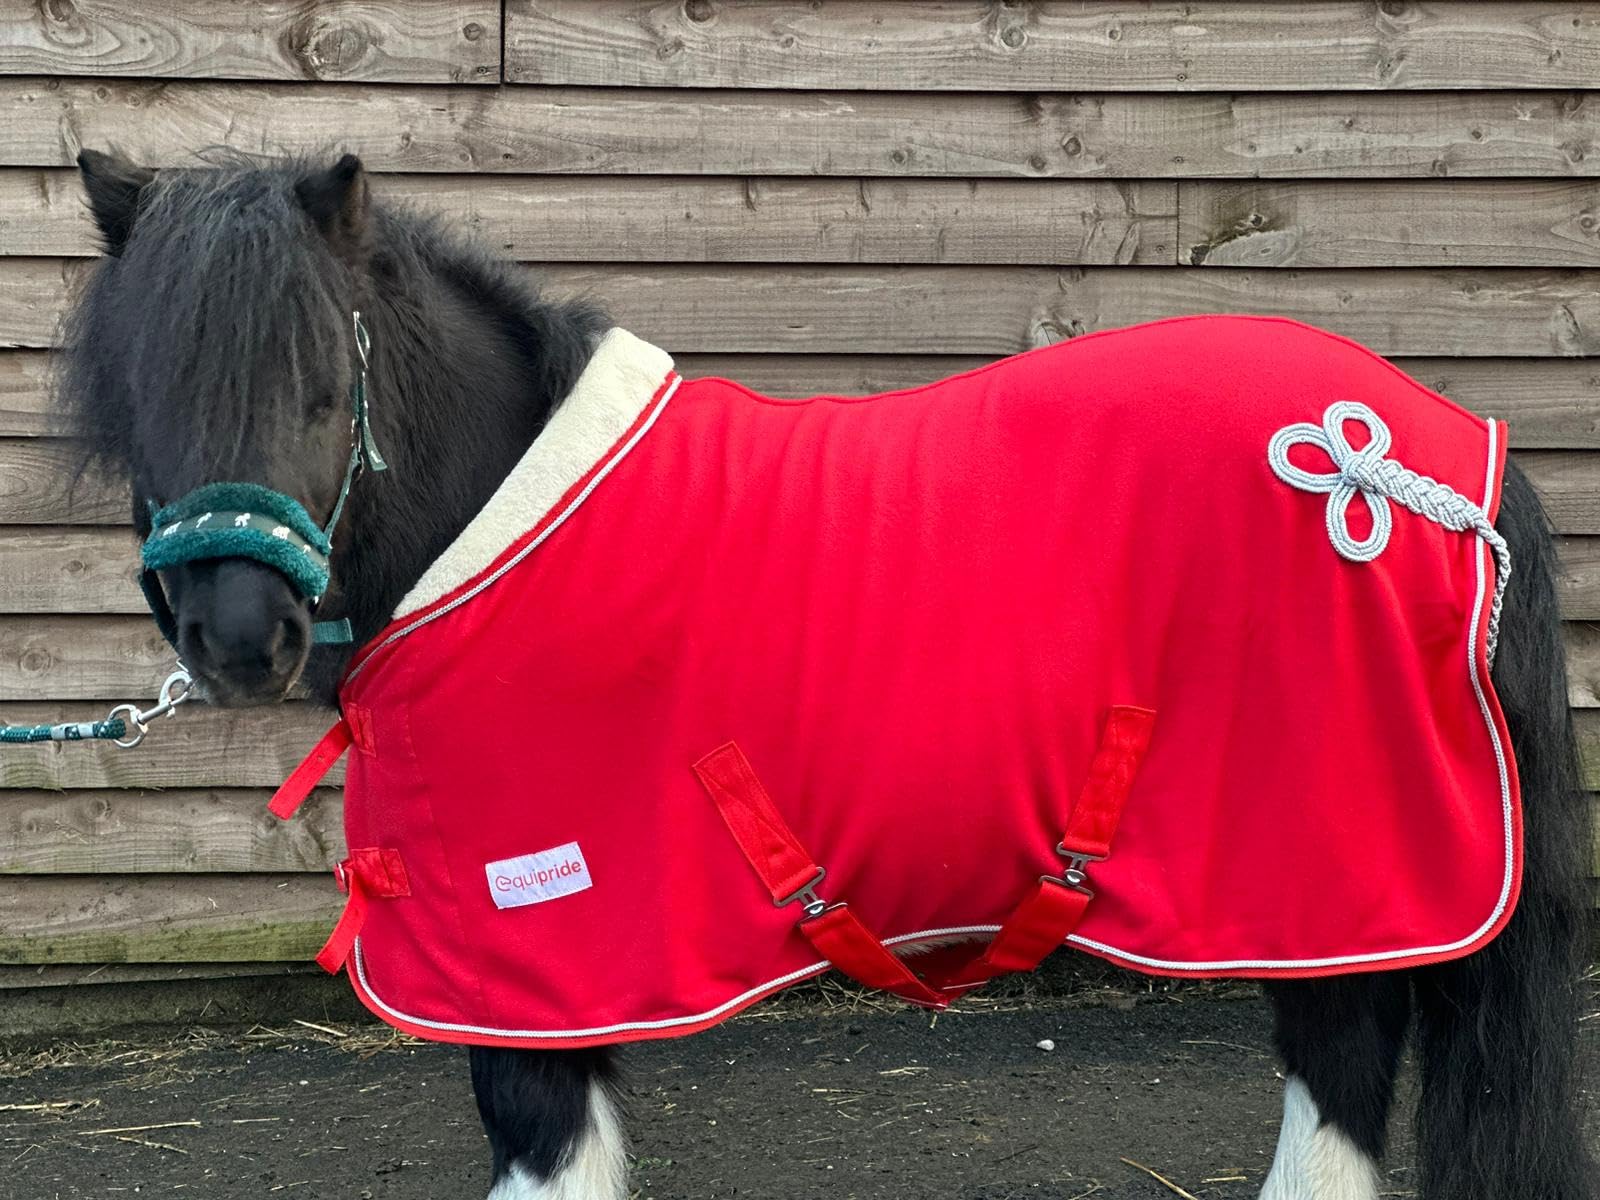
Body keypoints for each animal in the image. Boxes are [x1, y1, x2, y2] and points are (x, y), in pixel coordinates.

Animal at [57, 150, 1593, 1200]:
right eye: (137, 386)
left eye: (328, 381)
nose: (238, 635)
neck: (508, 537)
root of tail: (1430, 450)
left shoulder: (537, 974)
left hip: (1318, 887)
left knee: (1336, 1078)